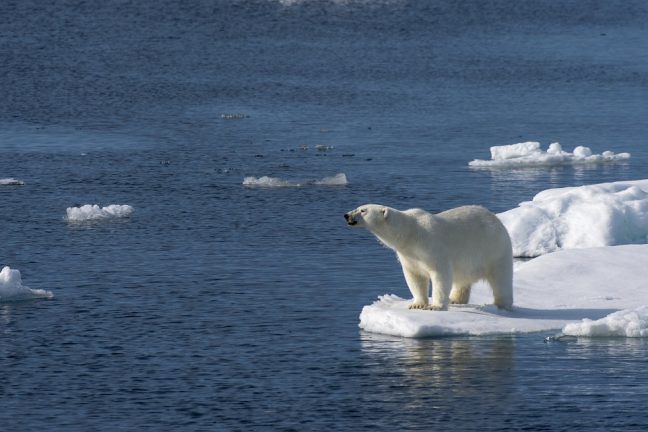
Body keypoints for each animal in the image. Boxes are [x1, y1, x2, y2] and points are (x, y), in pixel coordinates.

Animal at [344, 205, 512, 310]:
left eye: (363, 210)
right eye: (358, 206)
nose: (346, 215)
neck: (410, 233)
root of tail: (496, 219)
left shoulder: (431, 246)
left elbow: (440, 274)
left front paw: (435, 306)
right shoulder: (409, 255)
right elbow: (415, 277)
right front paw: (417, 304)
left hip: (494, 249)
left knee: (501, 279)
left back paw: (502, 304)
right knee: (462, 280)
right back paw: (455, 299)